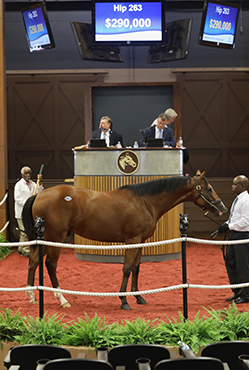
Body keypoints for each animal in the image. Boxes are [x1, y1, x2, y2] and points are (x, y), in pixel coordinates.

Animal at [22, 171, 227, 310]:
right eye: (209, 188)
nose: (222, 208)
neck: (144, 202)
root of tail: (39, 194)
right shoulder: (132, 239)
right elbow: (127, 268)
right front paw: (124, 300)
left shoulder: (141, 241)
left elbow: (136, 267)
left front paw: (138, 297)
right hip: (55, 237)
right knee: (50, 264)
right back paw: (62, 299)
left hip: (45, 239)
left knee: (34, 261)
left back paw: (31, 295)